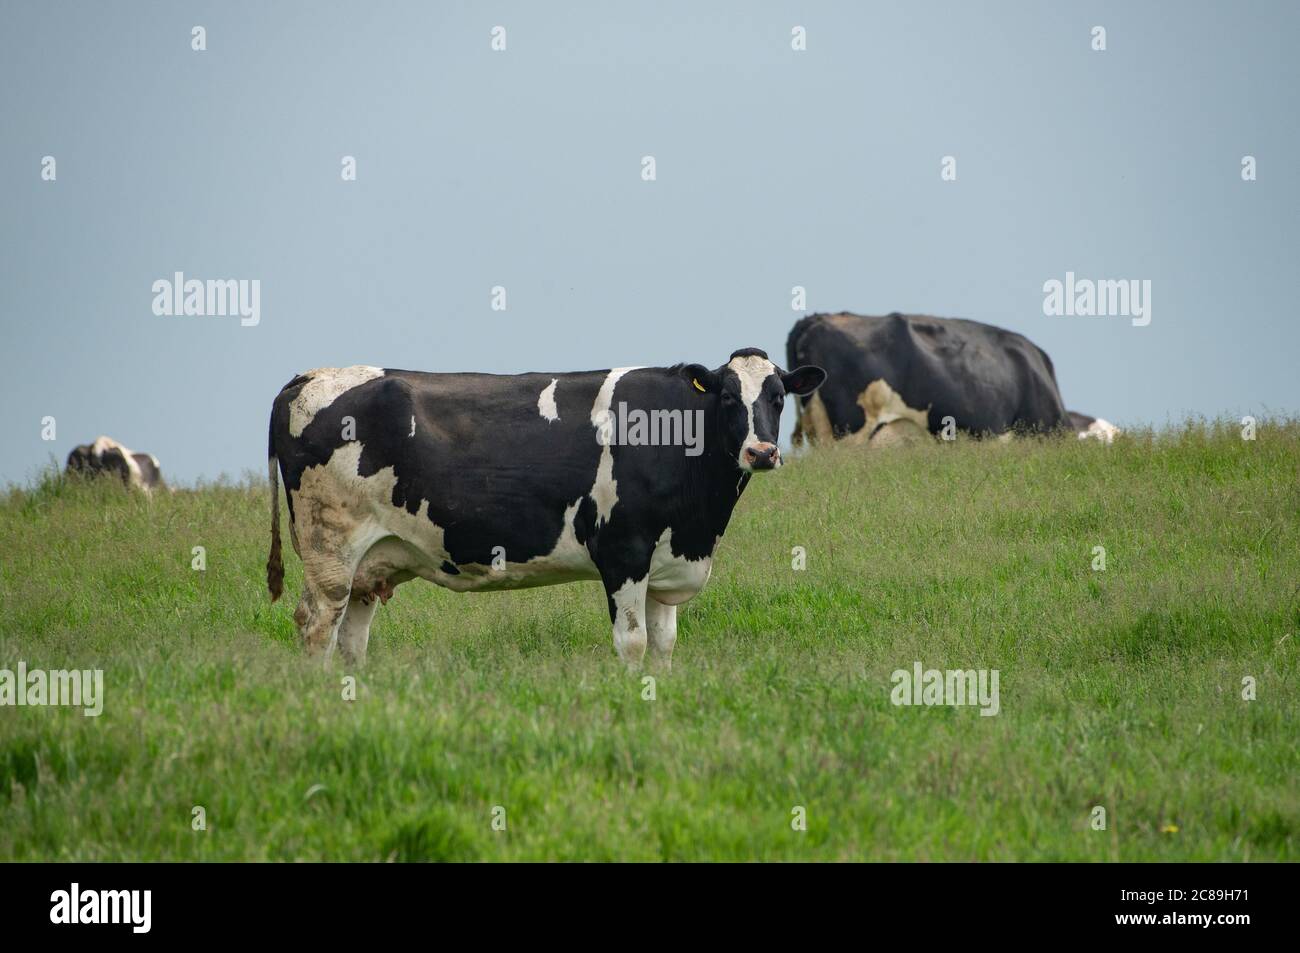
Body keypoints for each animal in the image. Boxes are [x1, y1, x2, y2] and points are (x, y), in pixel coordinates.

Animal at [265, 349, 827, 669]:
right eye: (728, 397)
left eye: (778, 396)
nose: (762, 452)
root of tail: (308, 377)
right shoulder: (623, 550)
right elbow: (633, 642)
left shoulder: (667, 560)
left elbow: (664, 645)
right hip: (330, 547)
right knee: (316, 625)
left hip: (372, 559)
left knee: (350, 639)